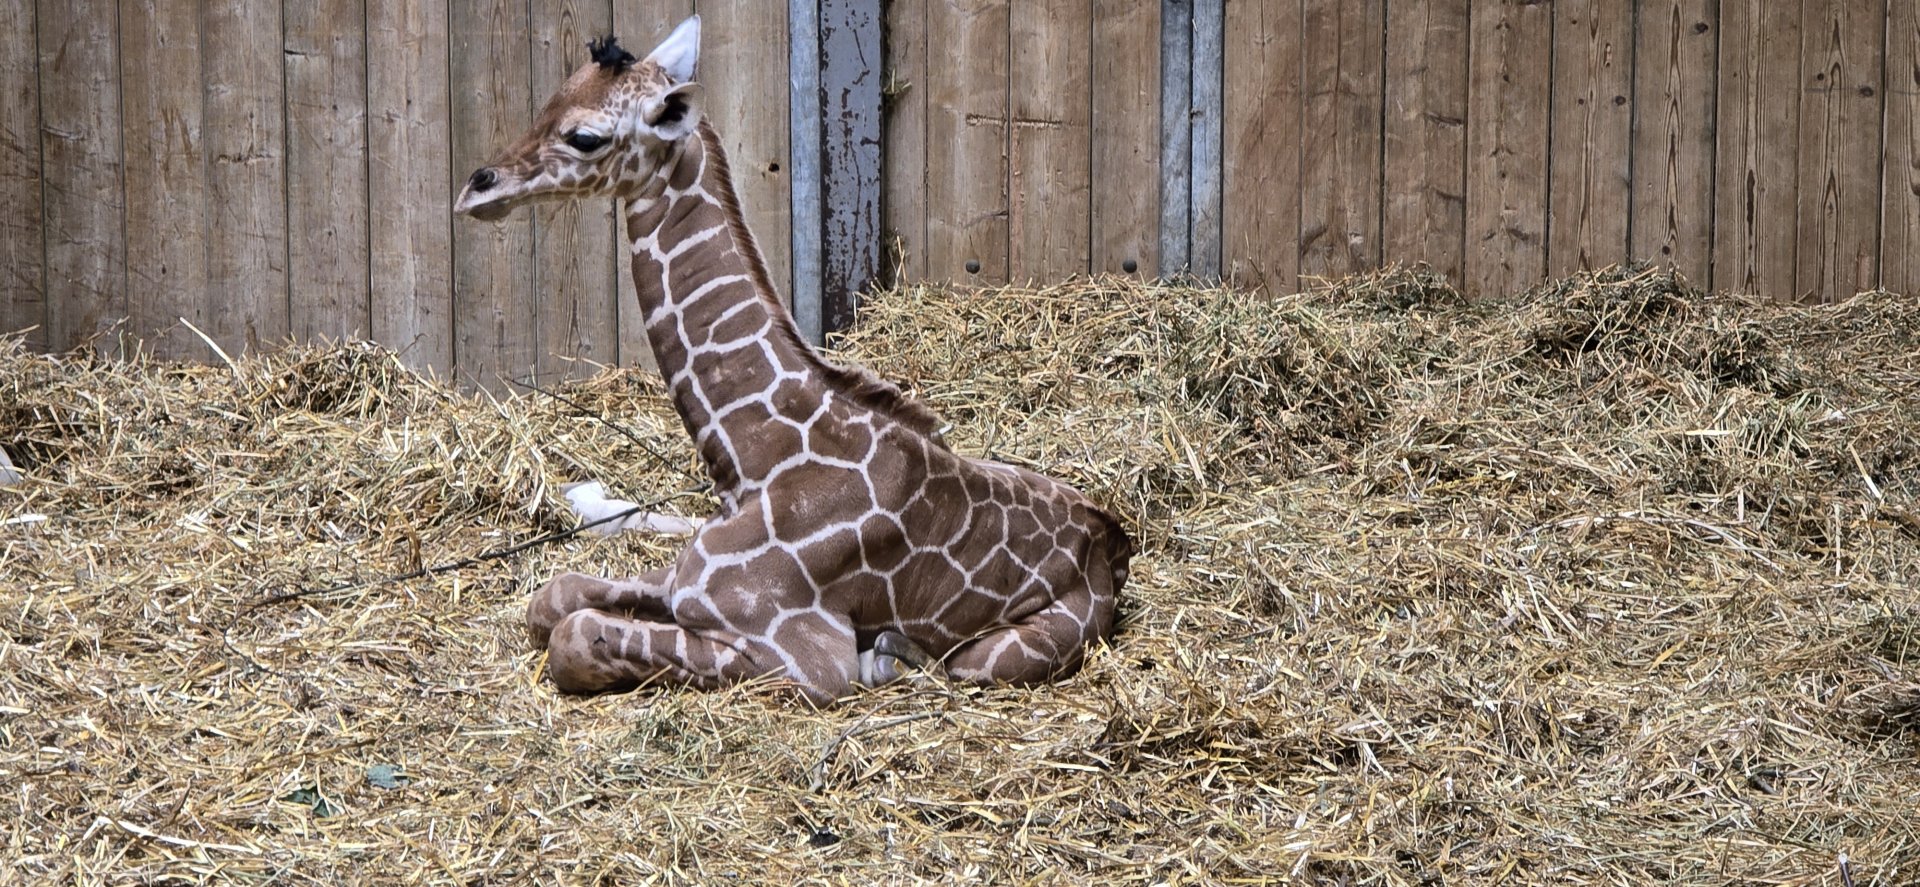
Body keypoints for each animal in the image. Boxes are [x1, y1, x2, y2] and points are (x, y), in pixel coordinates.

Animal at [453, 17, 1131, 706]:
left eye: (584, 136)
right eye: (552, 97)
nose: (475, 189)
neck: (753, 455)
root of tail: (1110, 546)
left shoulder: (806, 660)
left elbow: (572, 636)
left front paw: (883, 658)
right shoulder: (680, 581)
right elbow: (552, 598)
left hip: (997, 656)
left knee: (965, 664)